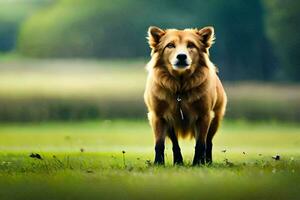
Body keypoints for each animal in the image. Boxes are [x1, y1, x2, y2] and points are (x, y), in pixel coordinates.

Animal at [144, 25, 226, 165]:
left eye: (191, 45)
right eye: (170, 45)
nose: (181, 56)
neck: (180, 87)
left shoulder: (204, 116)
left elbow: (201, 144)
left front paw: (197, 163)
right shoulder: (158, 117)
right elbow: (159, 144)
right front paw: (158, 163)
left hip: (215, 120)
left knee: (209, 142)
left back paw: (208, 161)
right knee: (175, 143)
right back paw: (178, 161)